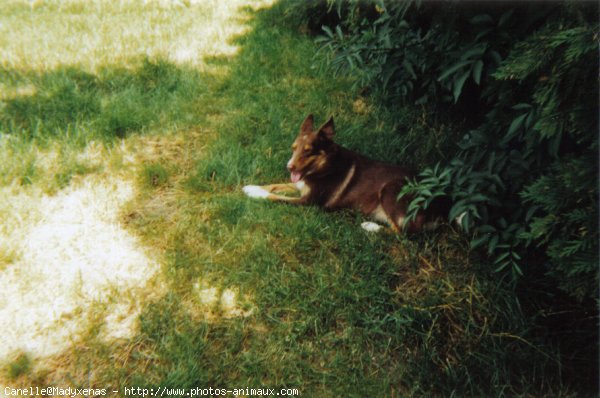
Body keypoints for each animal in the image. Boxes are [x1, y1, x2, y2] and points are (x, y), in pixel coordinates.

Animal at [241, 114, 448, 233]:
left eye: (308, 151)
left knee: (403, 233)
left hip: (391, 190)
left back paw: (370, 227)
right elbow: (274, 184)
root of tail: (440, 204)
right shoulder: (300, 185)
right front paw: (251, 186)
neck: (324, 166)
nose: (289, 167)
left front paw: (255, 193)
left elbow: (275, 197)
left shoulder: (308, 202)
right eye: (293, 148)